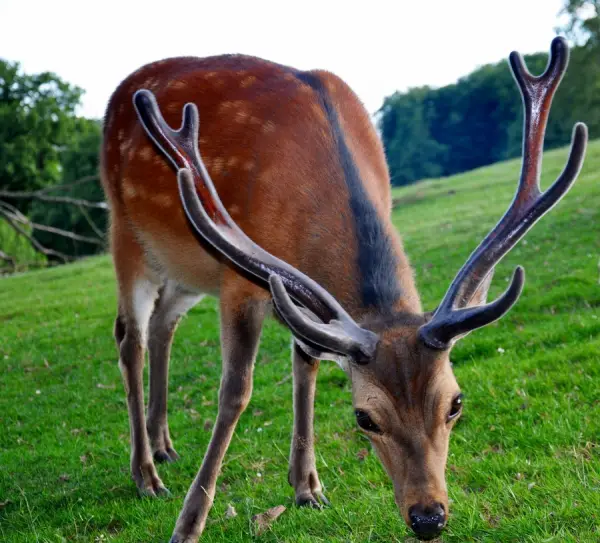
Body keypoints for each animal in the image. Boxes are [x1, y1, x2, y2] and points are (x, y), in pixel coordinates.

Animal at [99, 36, 584, 540]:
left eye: (455, 403)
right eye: (364, 417)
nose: (429, 517)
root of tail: (121, 91)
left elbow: (307, 365)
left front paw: (307, 487)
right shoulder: (238, 283)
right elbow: (235, 391)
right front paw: (190, 523)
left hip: (184, 274)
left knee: (163, 325)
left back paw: (163, 446)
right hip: (126, 236)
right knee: (129, 338)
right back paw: (146, 474)